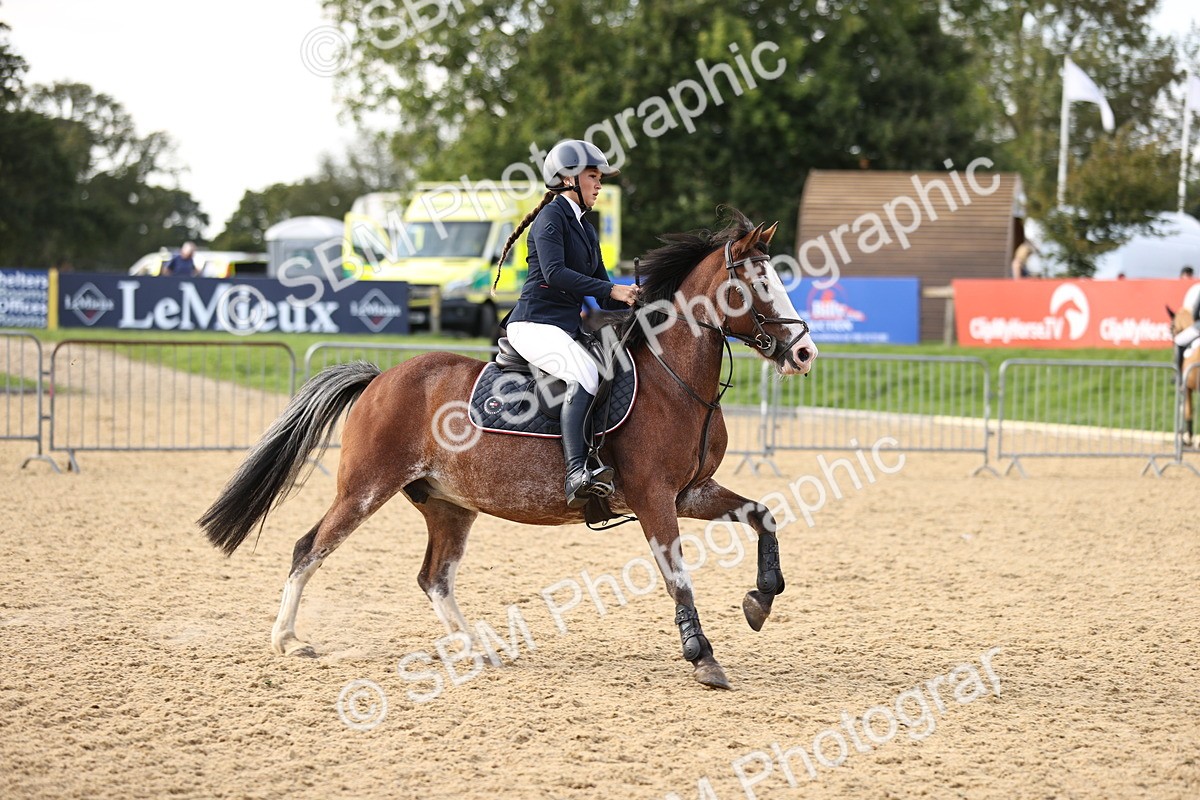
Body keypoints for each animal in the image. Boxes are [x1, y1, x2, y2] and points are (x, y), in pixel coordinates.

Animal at [199, 210, 818, 689]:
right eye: (758, 283)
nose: (804, 352)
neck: (675, 380)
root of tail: (380, 378)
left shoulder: (691, 492)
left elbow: (763, 516)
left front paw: (760, 601)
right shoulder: (654, 498)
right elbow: (678, 577)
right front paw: (703, 656)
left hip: (448, 504)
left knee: (434, 577)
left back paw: (477, 648)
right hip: (365, 488)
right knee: (310, 549)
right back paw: (287, 639)